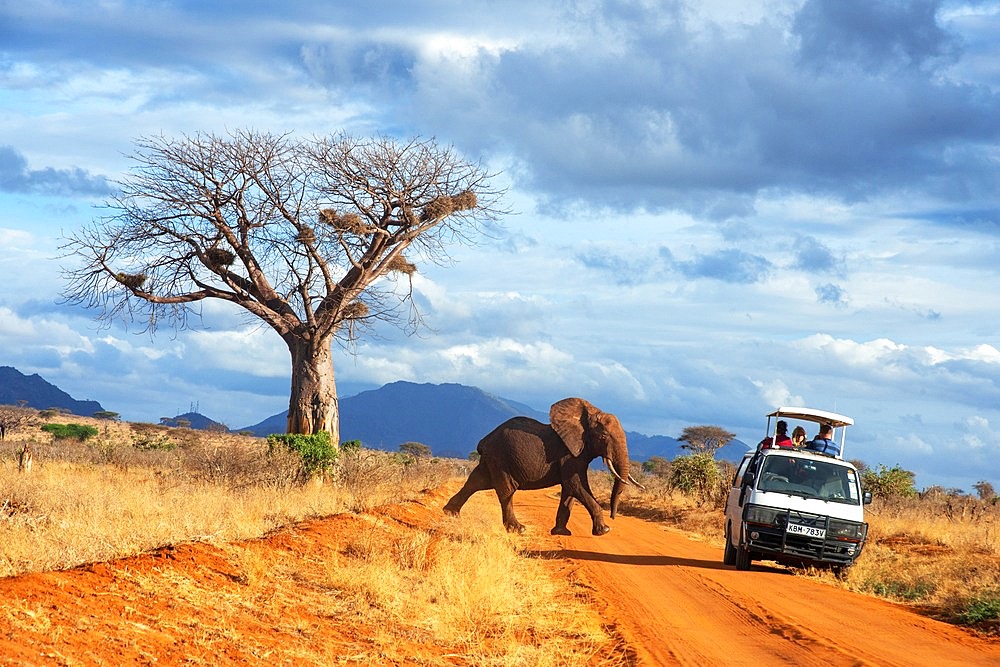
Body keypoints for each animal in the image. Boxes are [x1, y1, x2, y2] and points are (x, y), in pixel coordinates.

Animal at [444, 396, 644, 536]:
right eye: (603, 436)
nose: (613, 516)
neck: (586, 417)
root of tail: (484, 441)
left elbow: (569, 490)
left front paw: (561, 533)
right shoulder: (569, 455)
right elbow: (576, 485)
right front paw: (605, 531)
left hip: (491, 460)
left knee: (476, 482)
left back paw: (450, 513)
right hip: (500, 459)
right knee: (506, 491)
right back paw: (518, 529)